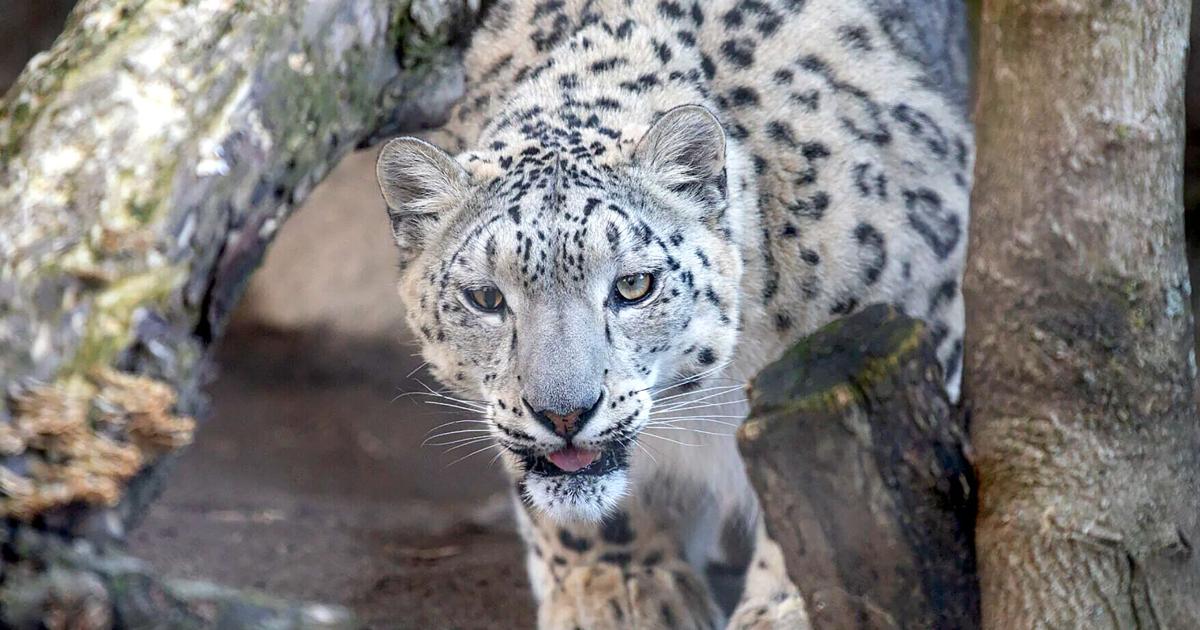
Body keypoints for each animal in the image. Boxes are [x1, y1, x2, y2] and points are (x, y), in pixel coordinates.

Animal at [374, 0, 972, 627]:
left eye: (634, 285)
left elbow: (834, 494)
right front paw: (614, 589)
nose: (563, 415)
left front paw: (785, 605)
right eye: (487, 299)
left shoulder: (927, 302)